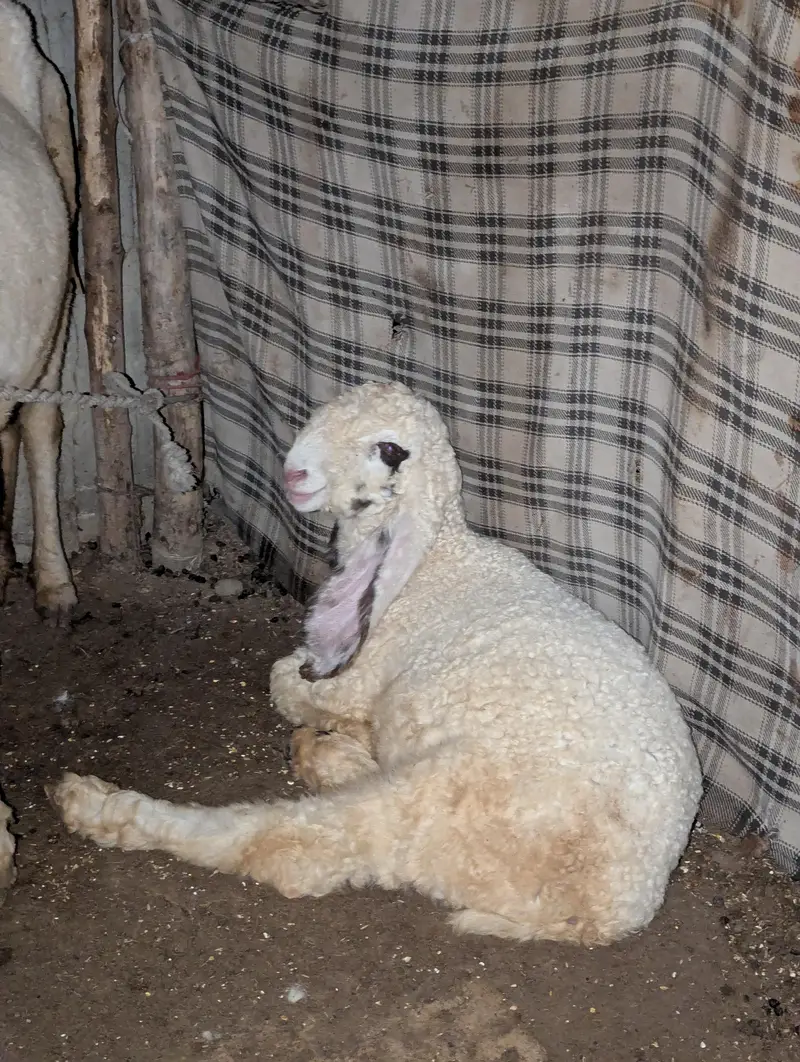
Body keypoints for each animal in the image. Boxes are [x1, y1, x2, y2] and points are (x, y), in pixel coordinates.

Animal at [48, 381, 703, 944]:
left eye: (388, 449)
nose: (294, 472)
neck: (437, 563)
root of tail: (612, 909)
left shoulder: (349, 677)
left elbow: (284, 680)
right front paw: (340, 738)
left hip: (440, 802)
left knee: (292, 846)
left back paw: (97, 803)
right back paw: (328, 755)